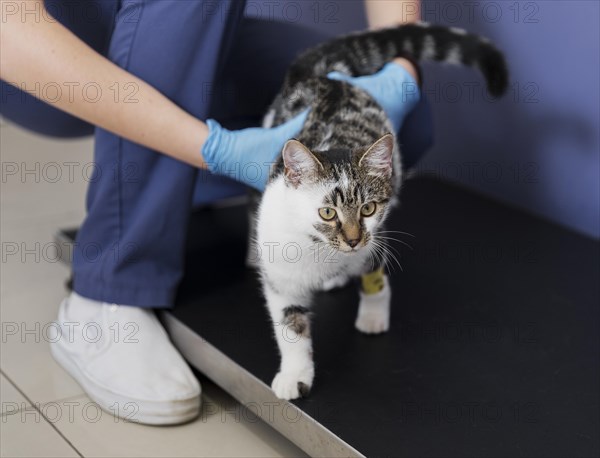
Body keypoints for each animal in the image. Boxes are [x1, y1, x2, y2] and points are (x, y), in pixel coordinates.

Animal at [251, 23, 508, 398]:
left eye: (368, 208)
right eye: (327, 213)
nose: (353, 240)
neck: (323, 252)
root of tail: (328, 79)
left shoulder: (377, 238)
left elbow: (375, 275)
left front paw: (373, 315)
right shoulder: (280, 271)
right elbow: (290, 324)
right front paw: (295, 374)